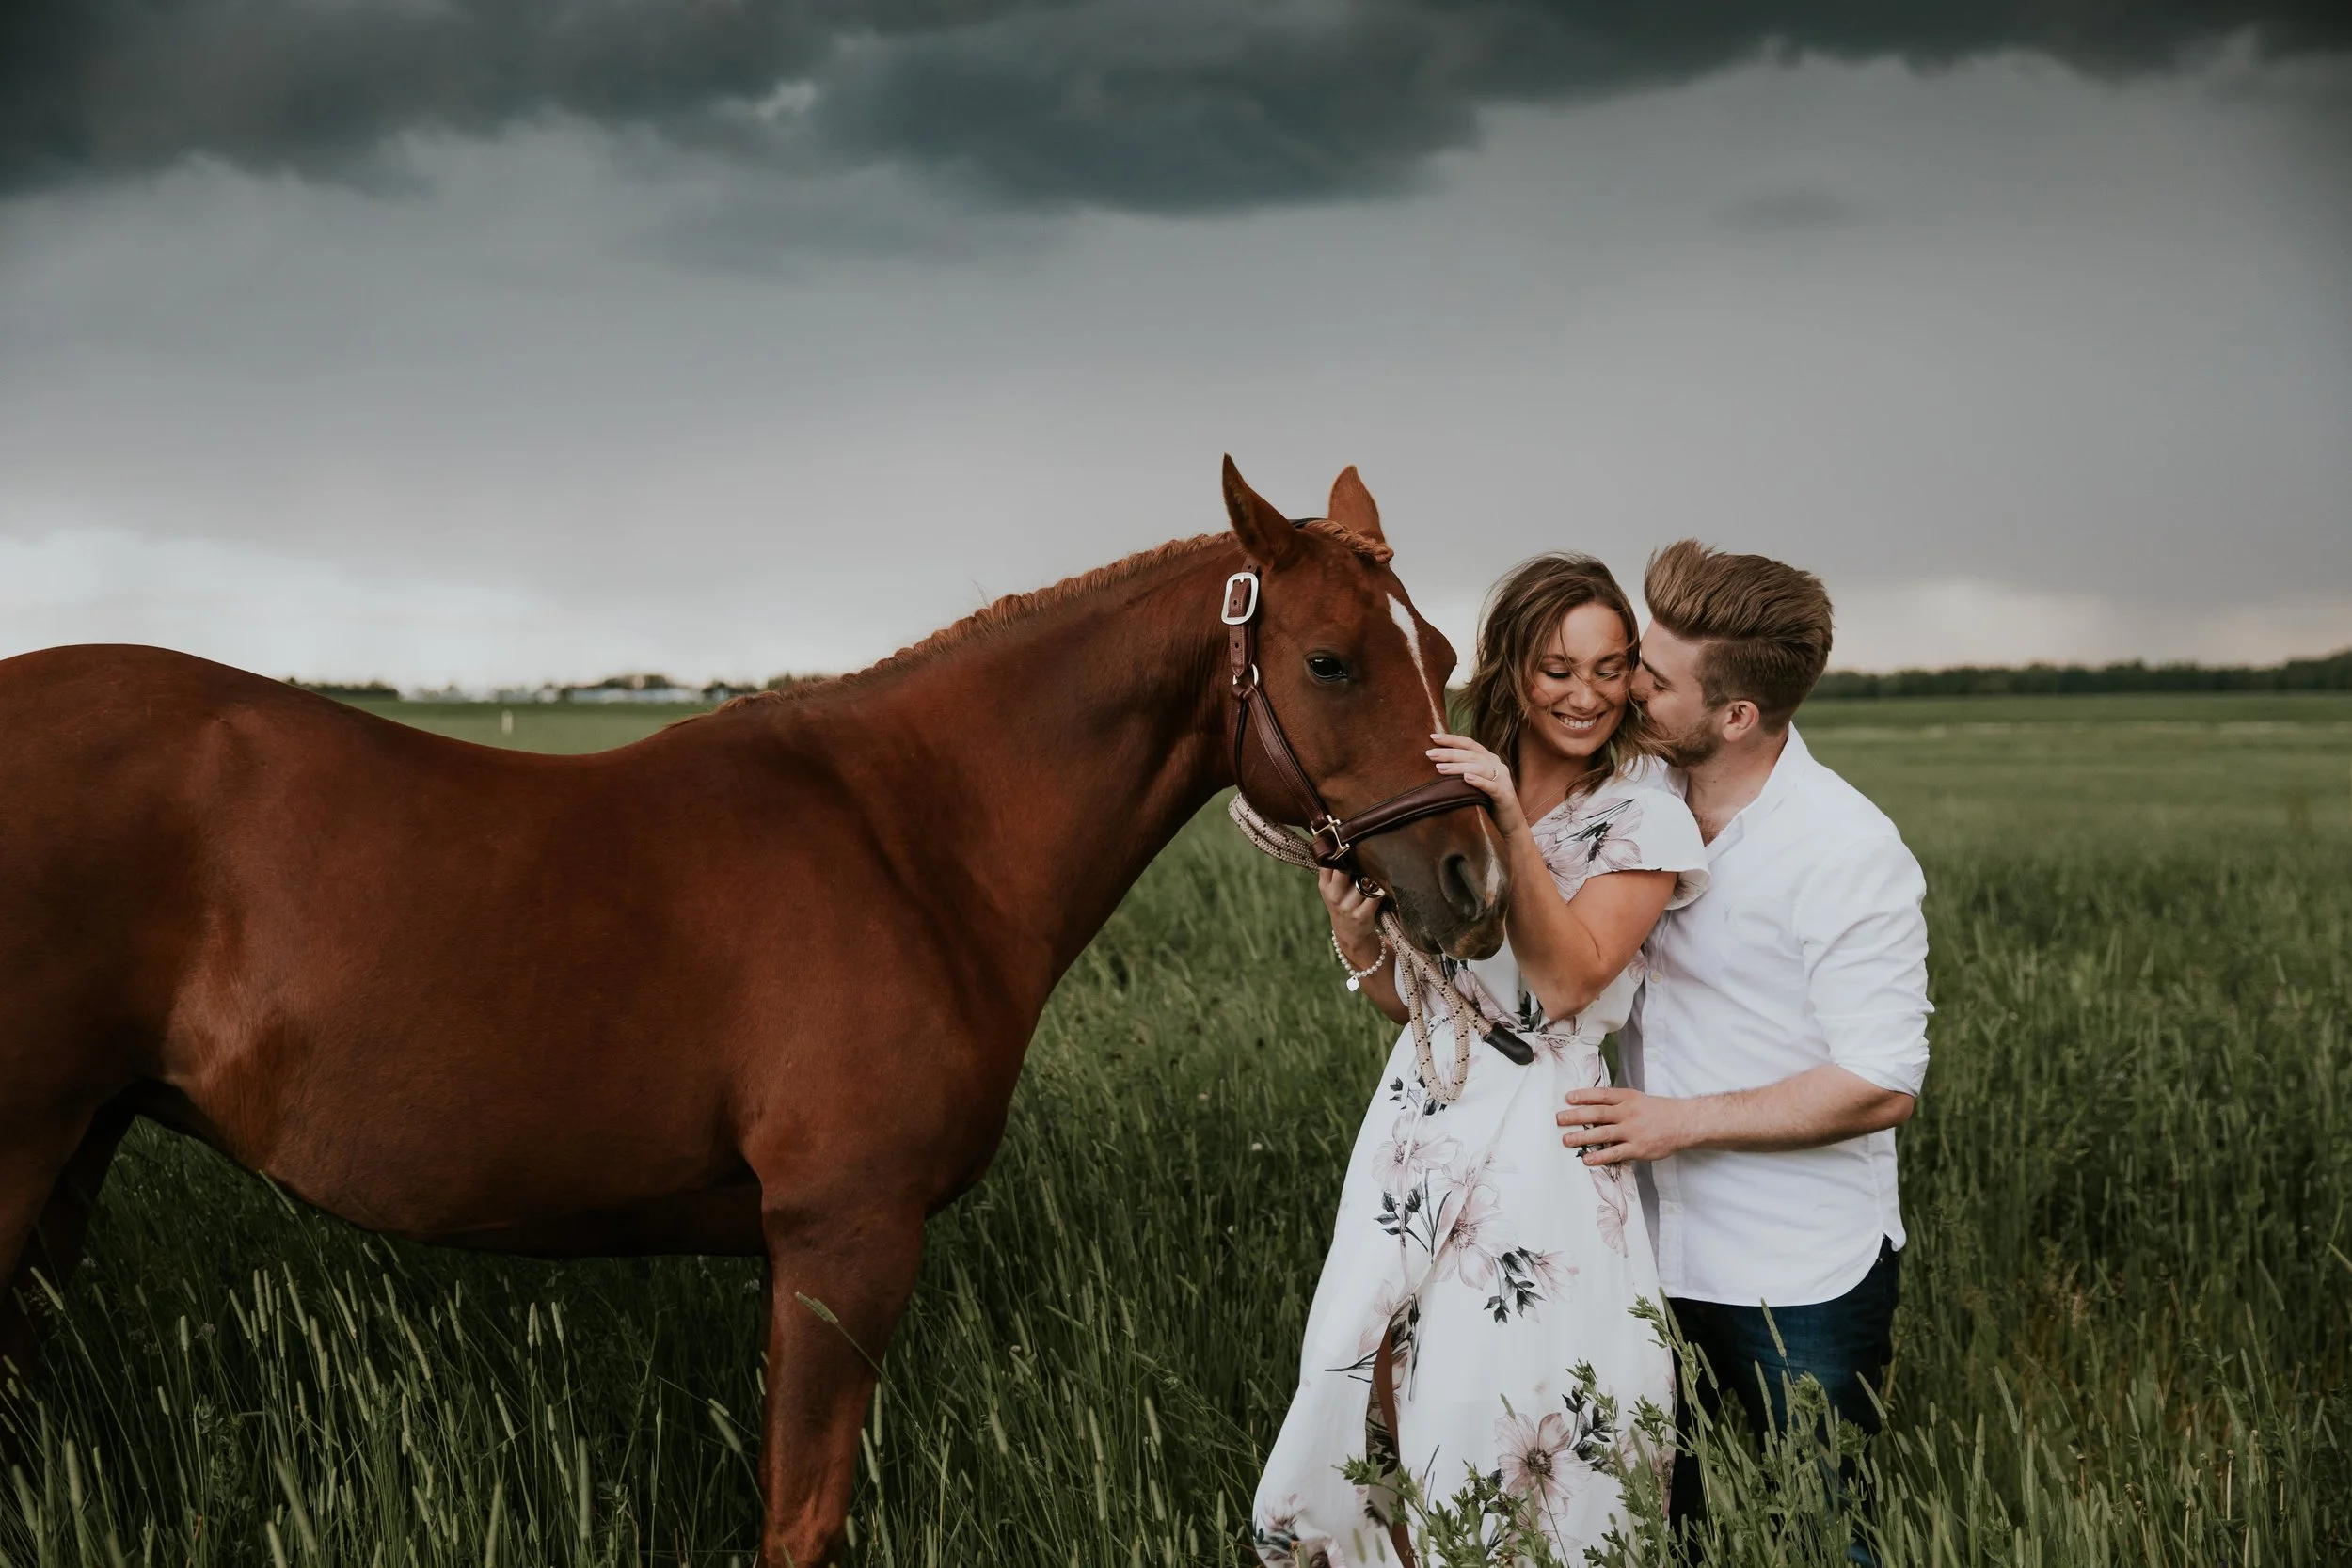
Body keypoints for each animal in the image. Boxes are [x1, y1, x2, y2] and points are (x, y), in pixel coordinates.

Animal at [0, 458, 1507, 1564]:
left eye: (1438, 646)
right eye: (1329, 661)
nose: (1472, 882)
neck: (911, 836)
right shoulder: (844, 1236)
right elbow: (802, 1514)